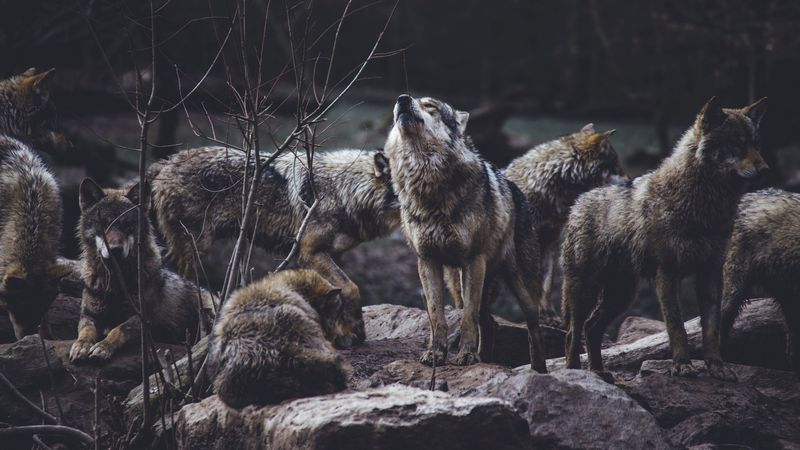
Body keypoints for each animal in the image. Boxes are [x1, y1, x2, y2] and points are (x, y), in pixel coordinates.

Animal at [69, 178, 215, 362]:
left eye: (127, 225)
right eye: (104, 224)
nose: (115, 249)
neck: (116, 282)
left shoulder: (143, 319)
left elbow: (118, 330)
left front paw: (103, 347)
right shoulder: (89, 315)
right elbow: (86, 331)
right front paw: (81, 346)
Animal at [149, 147, 399, 347]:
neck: (345, 190)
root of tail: (165, 162)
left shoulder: (333, 255)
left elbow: (339, 293)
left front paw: (346, 333)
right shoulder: (309, 252)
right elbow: (351, 288)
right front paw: (356, 331)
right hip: (195, 249)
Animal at [383, 94, 546, 371]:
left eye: (430, 105)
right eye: (406, 100)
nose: (402, 99)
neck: (427, 185)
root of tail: (516, 190)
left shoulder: (473, 260)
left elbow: (467, 318)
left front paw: (467, 356)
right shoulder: (427, 261)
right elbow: (436, 317)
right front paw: (436, 354)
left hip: (518, 286)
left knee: (533, 326)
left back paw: (539, 370)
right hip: (462, 282)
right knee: (490, 323)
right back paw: (487, 359)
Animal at [561, 97, 768, 381]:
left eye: (756, 144)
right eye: (736, 144)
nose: (765, 169)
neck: (704, 205)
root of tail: (578, 201)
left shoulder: (710, 272)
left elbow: (711, 329)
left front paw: (717, 367)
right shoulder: (667, 273)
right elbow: (676, 326)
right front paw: (682, 366)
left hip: (622, 295)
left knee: (592, 327)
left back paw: (599, 372)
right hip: (586, 290)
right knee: (573, 331)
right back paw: (576, 373)